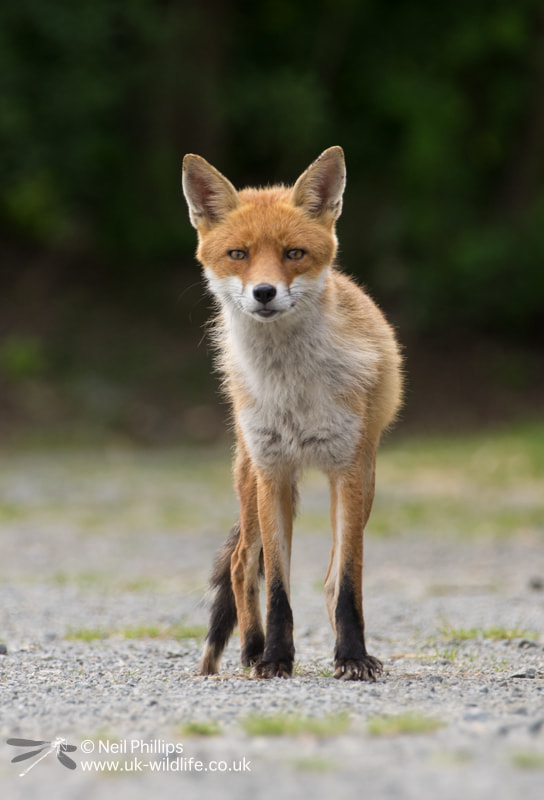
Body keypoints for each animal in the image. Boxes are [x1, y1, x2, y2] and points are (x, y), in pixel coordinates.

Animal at [182, 146, 402, 680]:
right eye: (238, 254)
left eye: (293, 254)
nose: (264, 292)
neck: (293, 390)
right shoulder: (274, 472)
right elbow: (278, 588)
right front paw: (276, 658)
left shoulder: (348, 470)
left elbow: (347, 581)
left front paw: (352, 655)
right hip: (250, 480)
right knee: (241, 565)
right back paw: (251, 649)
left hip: (364, 481)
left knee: (330, 576)